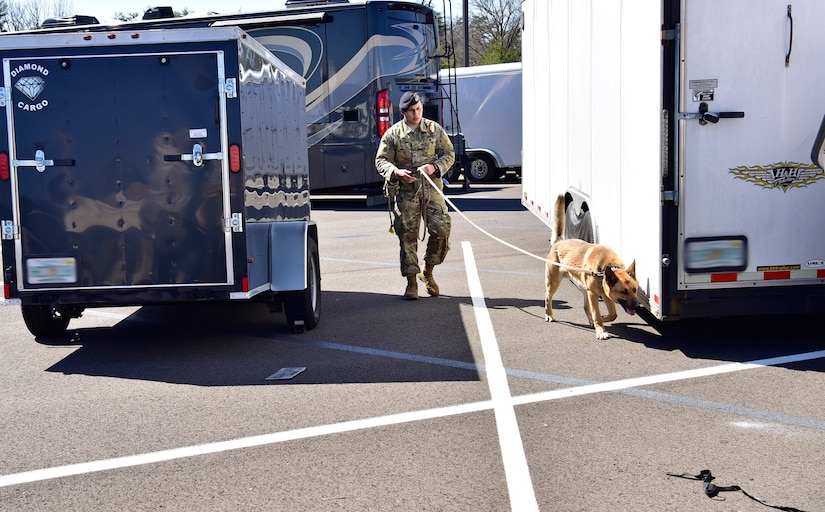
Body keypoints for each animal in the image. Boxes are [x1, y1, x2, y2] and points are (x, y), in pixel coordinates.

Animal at [544, 196, 640, 340]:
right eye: (623, 291)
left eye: (634, 290)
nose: (637, 306)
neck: (605, 268)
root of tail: (559, 242)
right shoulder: (594, 294)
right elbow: (597, 314)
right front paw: (600, 329)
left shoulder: (606, 295)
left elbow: (613, 315)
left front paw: (602, 319)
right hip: (554, 282)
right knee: (547, 297)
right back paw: (549, 315)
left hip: (584, 289)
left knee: (585, 307)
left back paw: (590, 321)